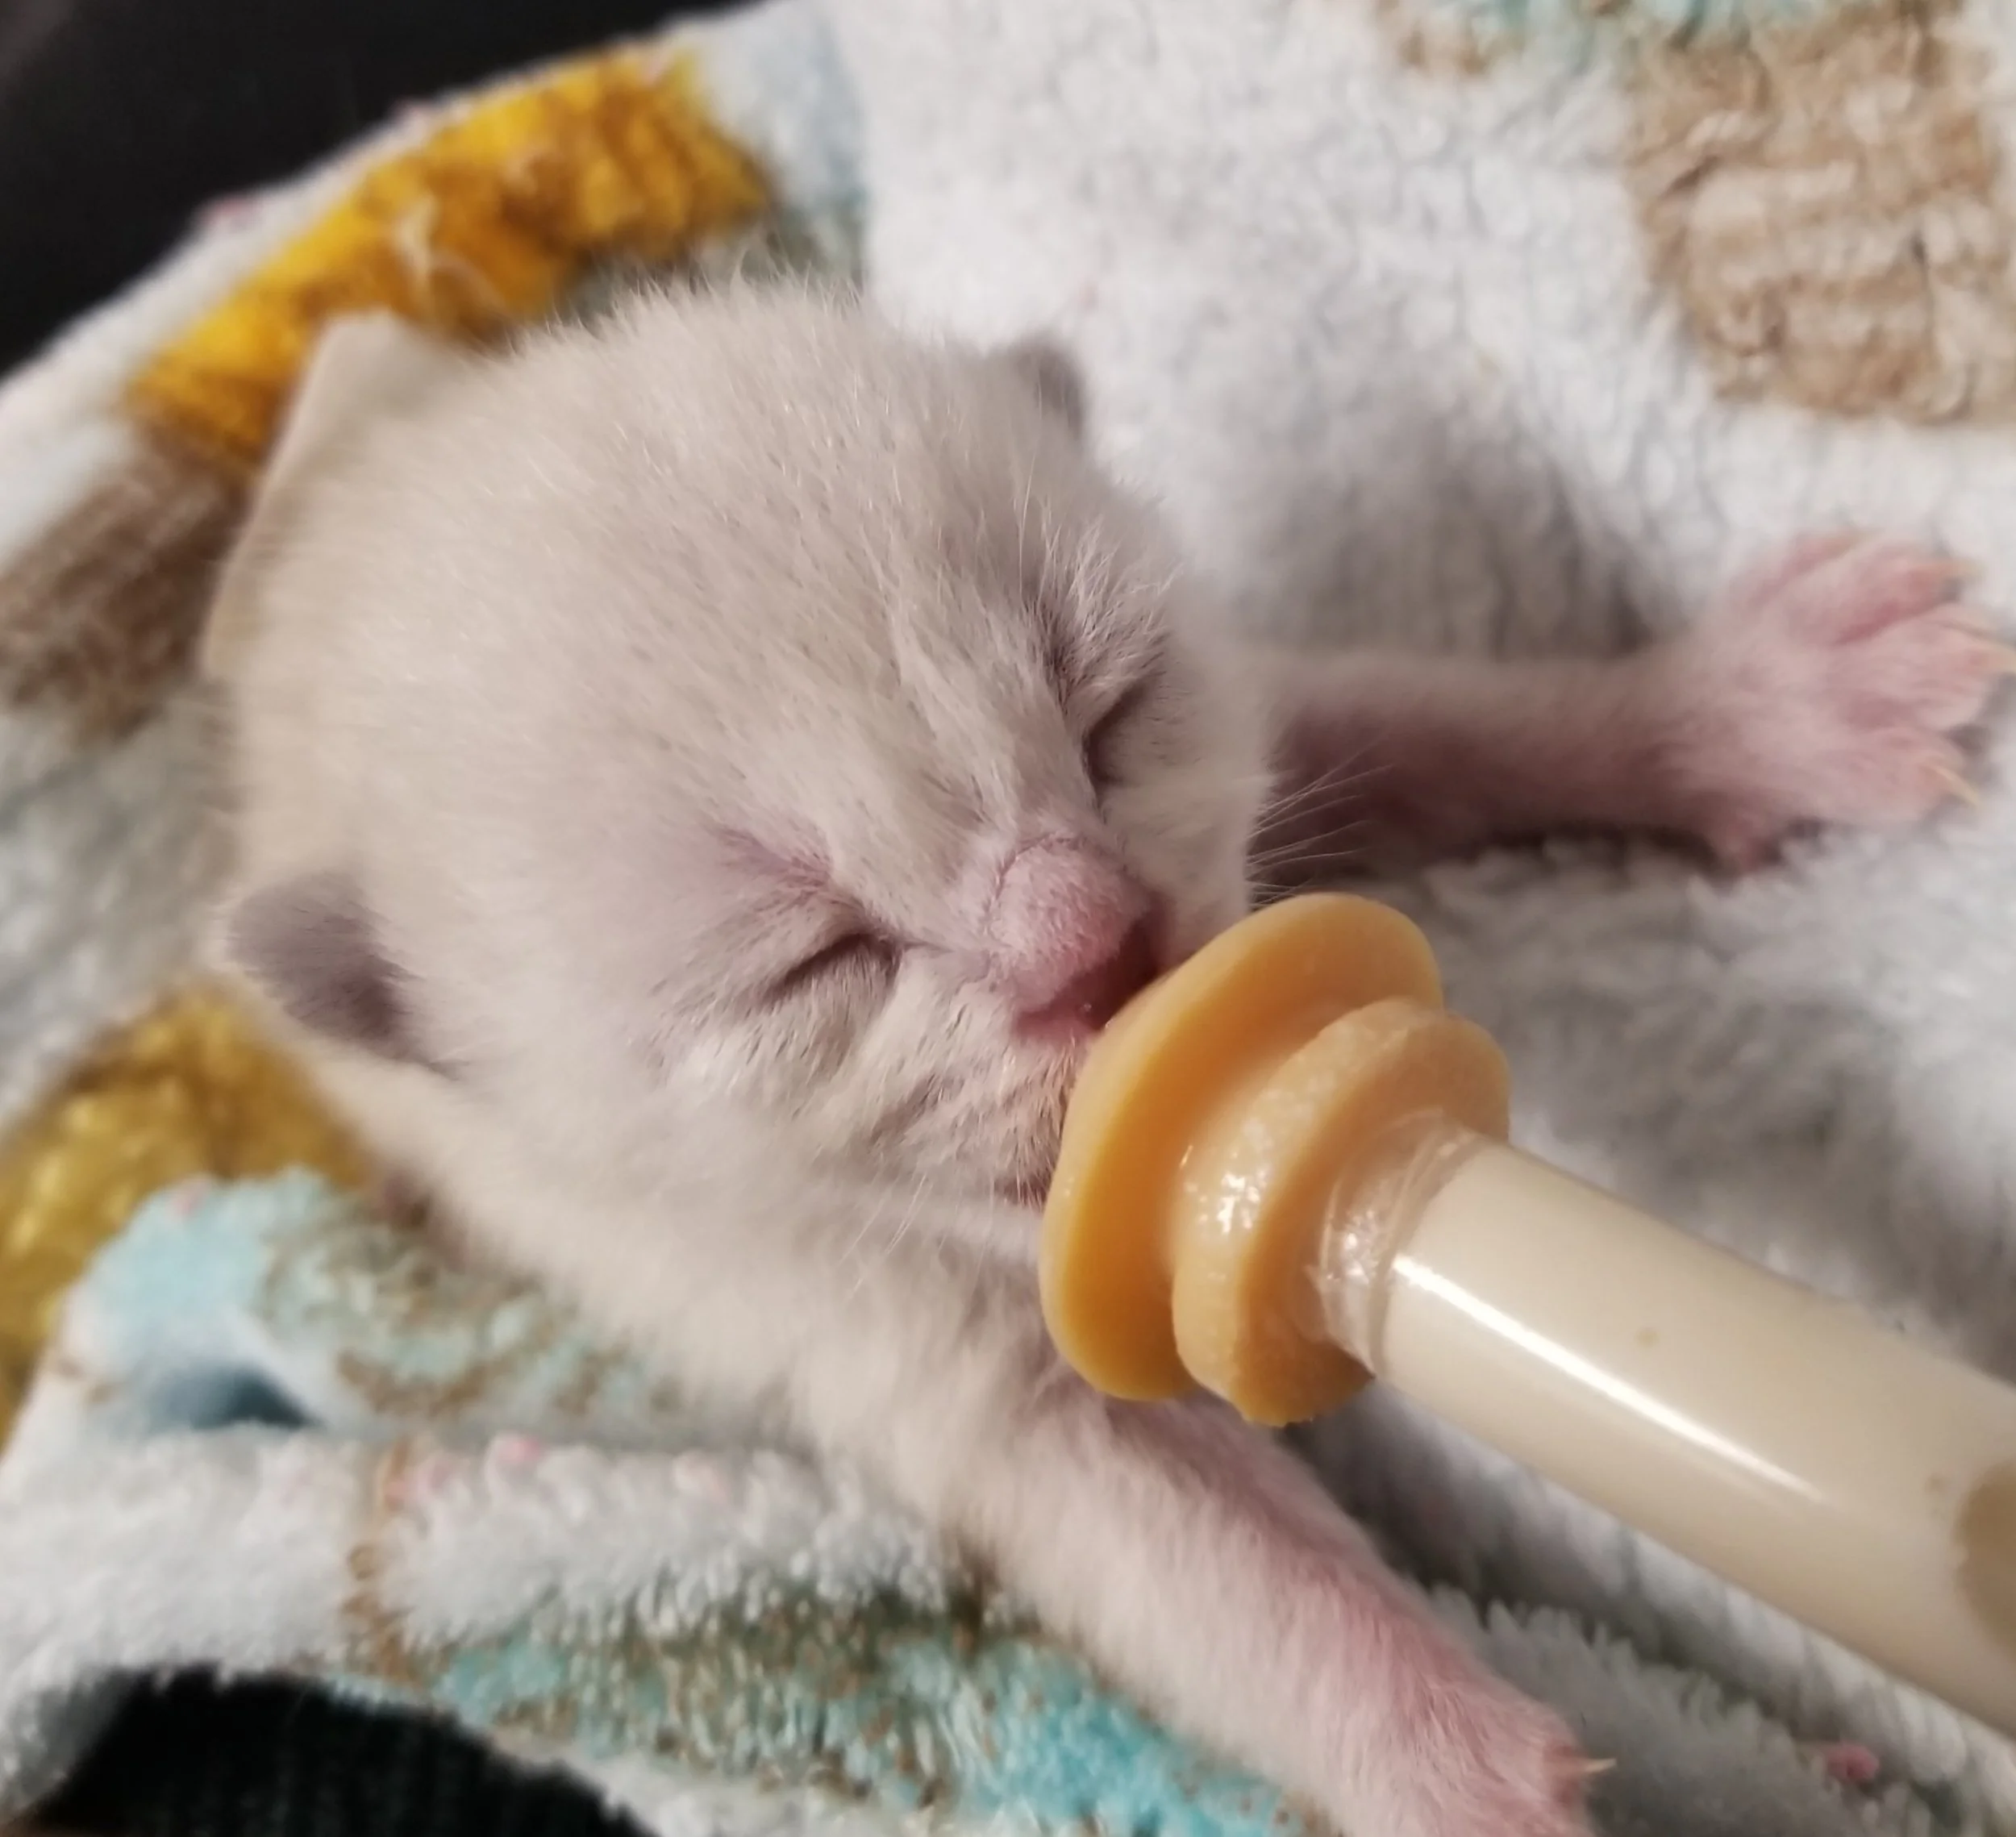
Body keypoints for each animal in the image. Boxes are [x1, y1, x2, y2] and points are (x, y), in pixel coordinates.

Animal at [202, 283, 2002, 1837]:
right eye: (813, 955)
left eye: (1104, 714)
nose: (1094, 938)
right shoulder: (823, 1294)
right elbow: (1195, 1548)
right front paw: (1468, 1776)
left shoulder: (1253, 715)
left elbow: (1414, 720)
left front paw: (1751, 706)